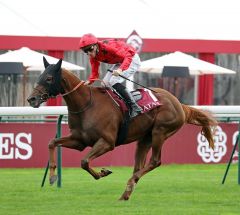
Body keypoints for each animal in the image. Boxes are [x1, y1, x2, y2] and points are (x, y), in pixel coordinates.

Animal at [27, 56, 217, 200]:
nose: (31, 99)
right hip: (145, 138)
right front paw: (52, 176)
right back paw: (126, 193)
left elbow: (84, 161)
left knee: (155, 161)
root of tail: (179, 104)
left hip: (160, 132)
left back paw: (130, 182)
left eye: (49, 78)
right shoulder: (79, 140)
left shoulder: (107, 142)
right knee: (139, 164)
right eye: (40, 75)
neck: (87, 105)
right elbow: (52, 142)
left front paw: (103, 172)